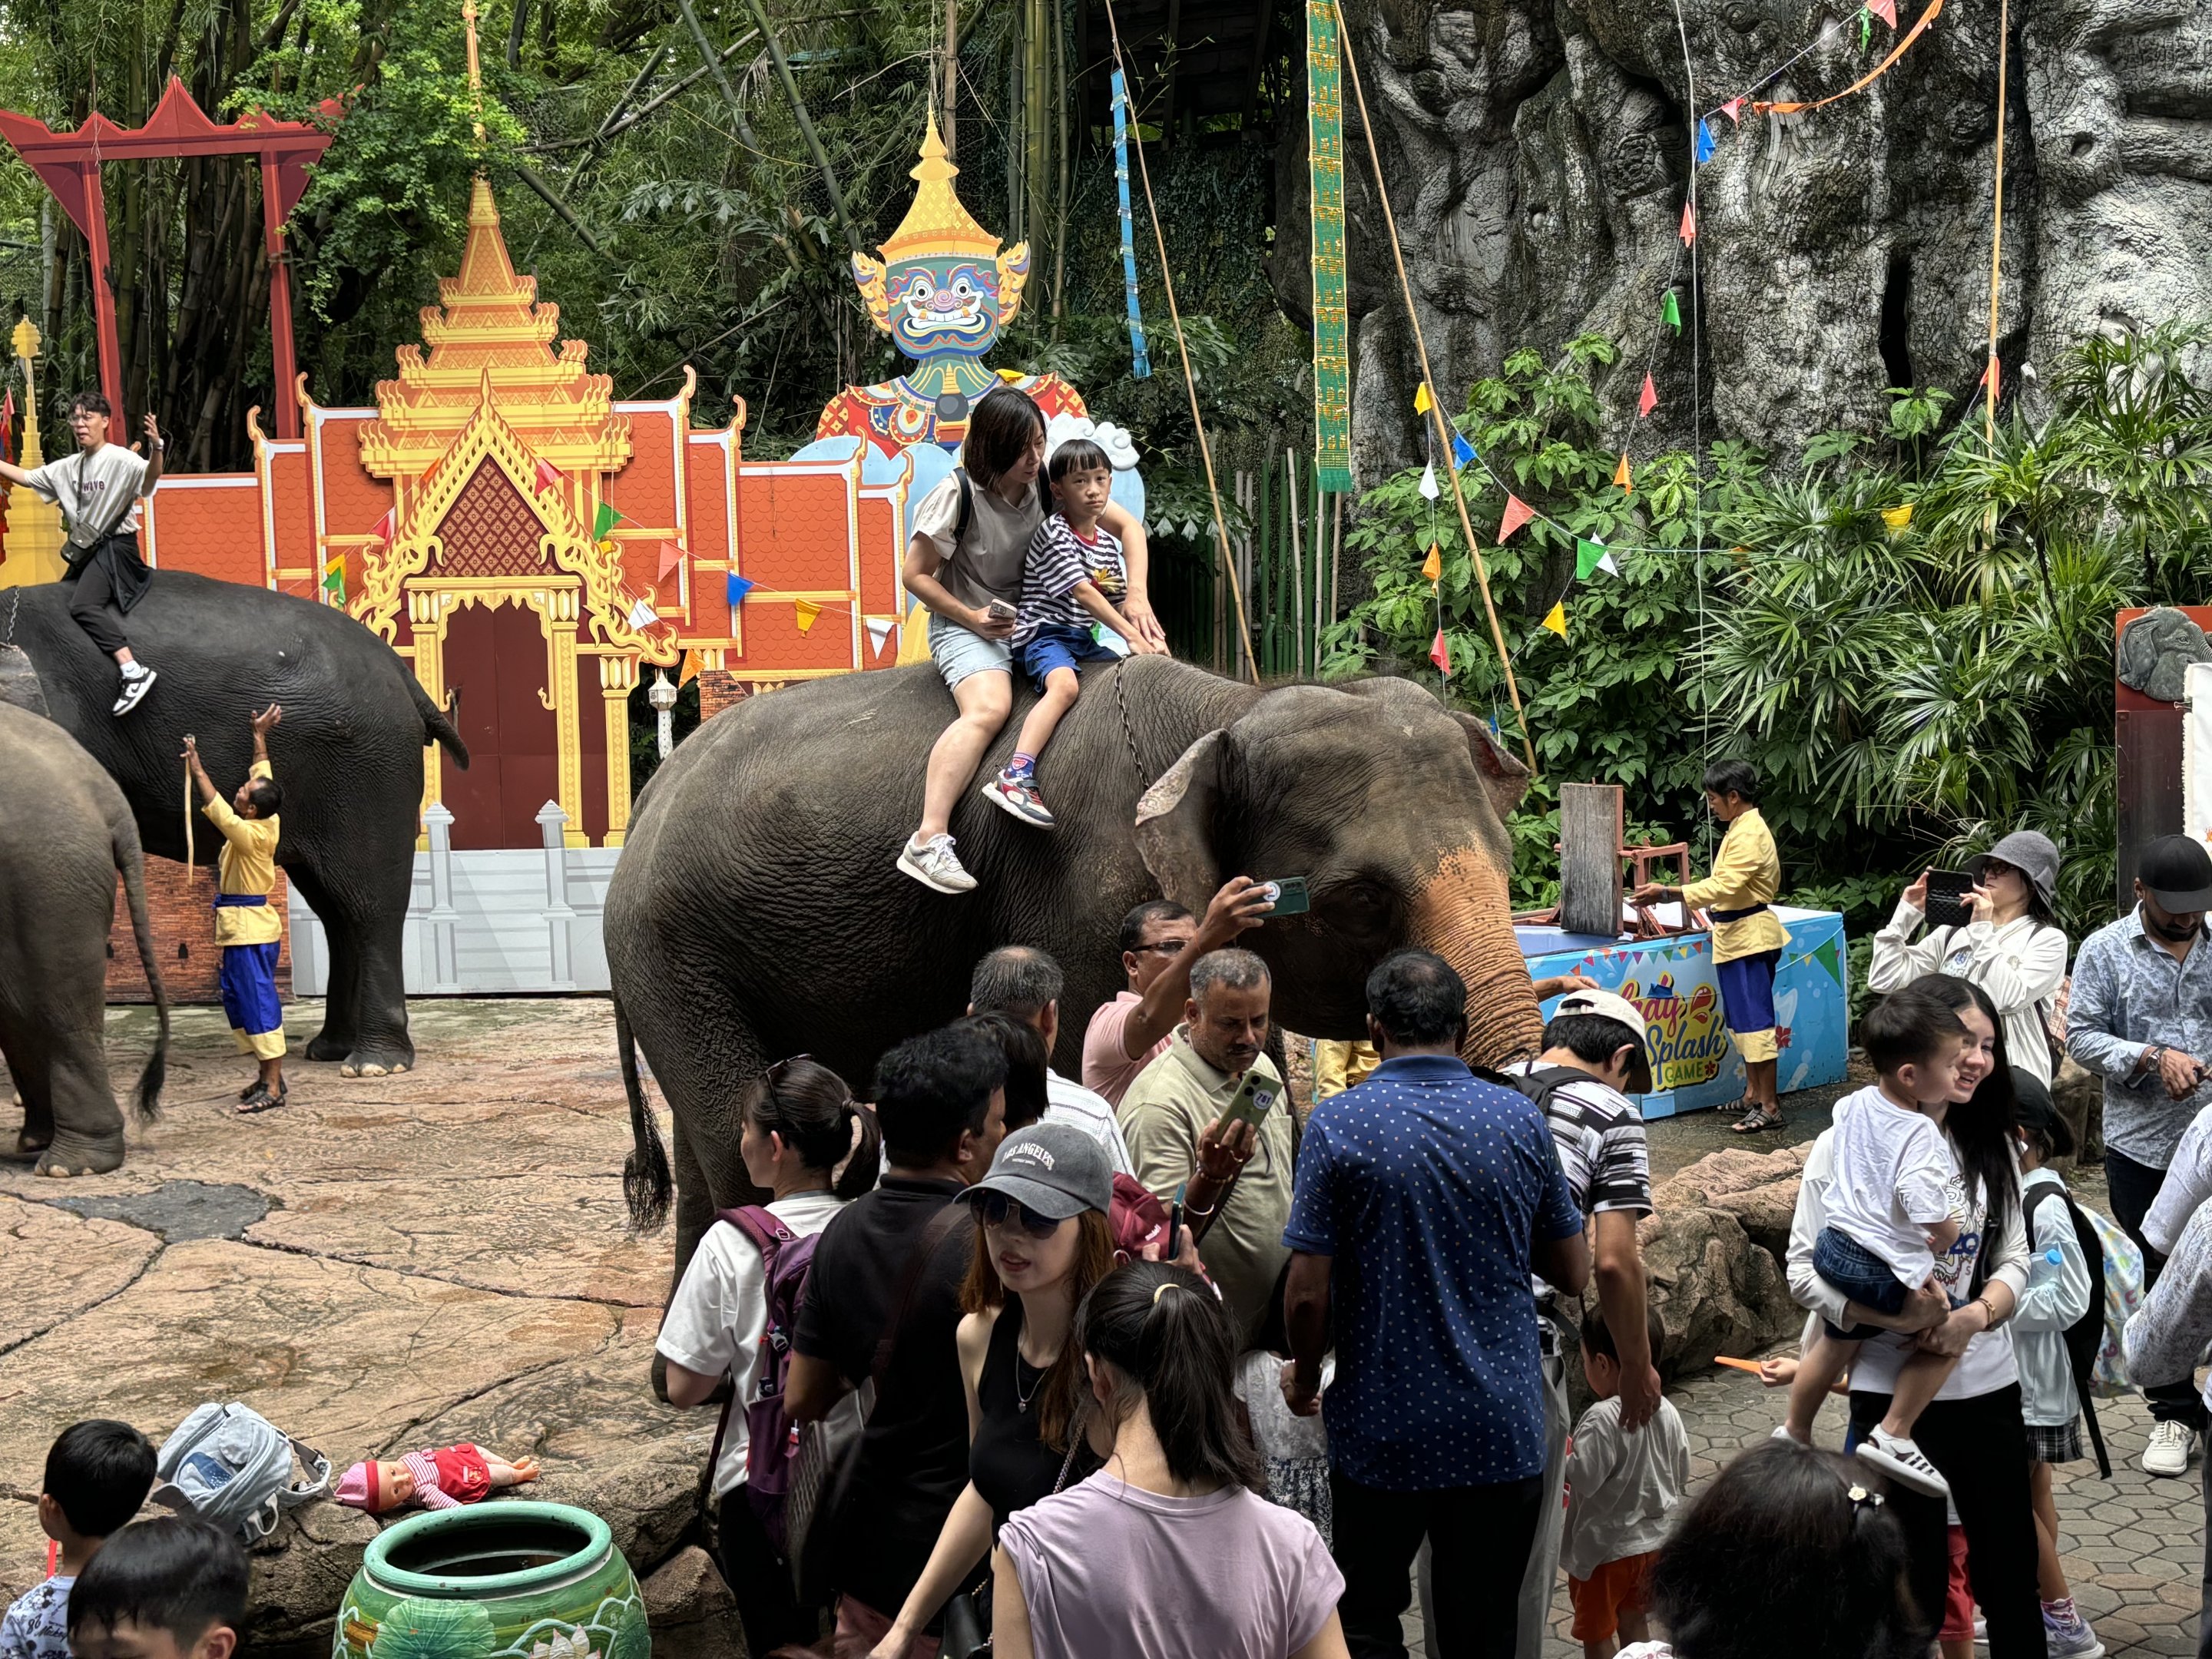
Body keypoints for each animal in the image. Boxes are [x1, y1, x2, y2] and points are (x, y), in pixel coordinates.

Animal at [0, 700, 170, 1175]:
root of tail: (107, 795)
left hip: (48, 877)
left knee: (55, 1007)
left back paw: (68, 1165)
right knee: (22, 1010)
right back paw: (38, 1141)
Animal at [1, 571, 468, 1074]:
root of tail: (405, 677)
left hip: (369, 769)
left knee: (369, 904)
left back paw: (374, 1063)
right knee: (335, 912)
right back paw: (329, 1049)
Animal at [606, 653, 1542, 1287]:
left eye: (1507, 865)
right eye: (1363, 898)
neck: (1229, 703)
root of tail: (648, 797)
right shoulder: (1077, 894)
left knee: (714, 1145)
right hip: (668, 947)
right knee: (736, 1143)